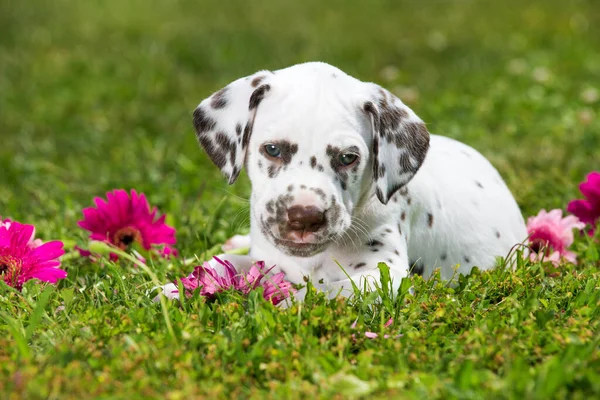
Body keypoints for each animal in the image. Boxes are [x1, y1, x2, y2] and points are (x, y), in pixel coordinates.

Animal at [180, 61, 528, 300]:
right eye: (273, 149)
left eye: (348, 158)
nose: (304, 217)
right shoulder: (264, 261)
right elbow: (222, 264)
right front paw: (172, 290)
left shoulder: (382, 277)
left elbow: (322, 293)